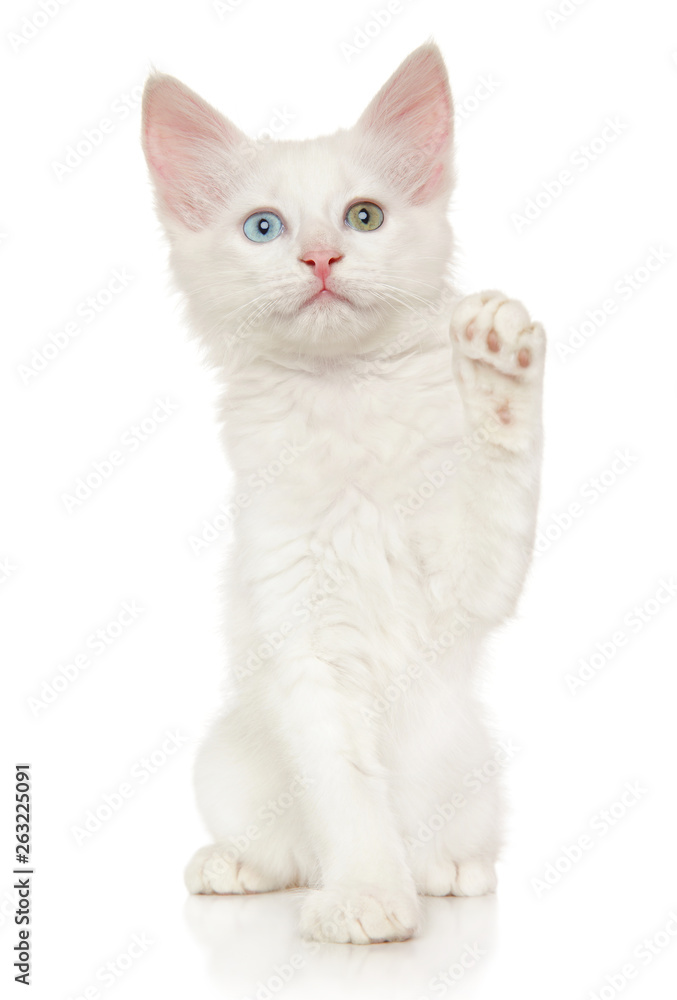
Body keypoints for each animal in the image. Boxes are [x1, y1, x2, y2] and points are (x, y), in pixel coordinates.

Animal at [141, 41, 544, 944]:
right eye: (264, 227)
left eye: (363, 218)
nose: (321, 258)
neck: (344, 399)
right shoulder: (302, 632)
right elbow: (349, 791)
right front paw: (366, 897)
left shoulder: (474, 580)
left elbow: (500, 470)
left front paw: (495, 365)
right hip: (225, 761)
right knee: (285, 855)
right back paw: (235, 868)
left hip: (476, 769)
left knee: (450, 846)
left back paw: (450, 873)